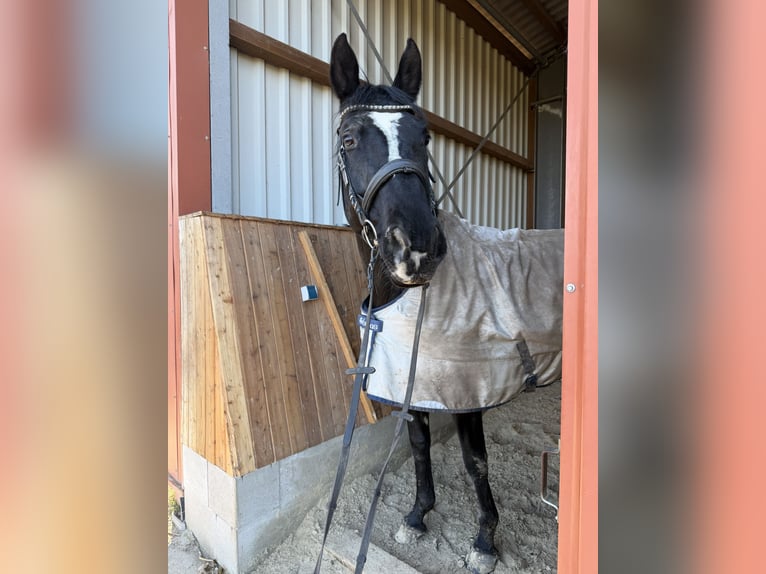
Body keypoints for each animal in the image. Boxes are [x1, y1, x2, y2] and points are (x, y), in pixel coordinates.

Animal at [329, 33, 563, 574]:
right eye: (349, 139)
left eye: (426, 136)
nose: (416, 247)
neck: (411, 297)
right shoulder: (415, 383)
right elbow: (418, 445)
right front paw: (418, 515)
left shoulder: (468, 388)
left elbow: (475, 462)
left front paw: (484, 541)